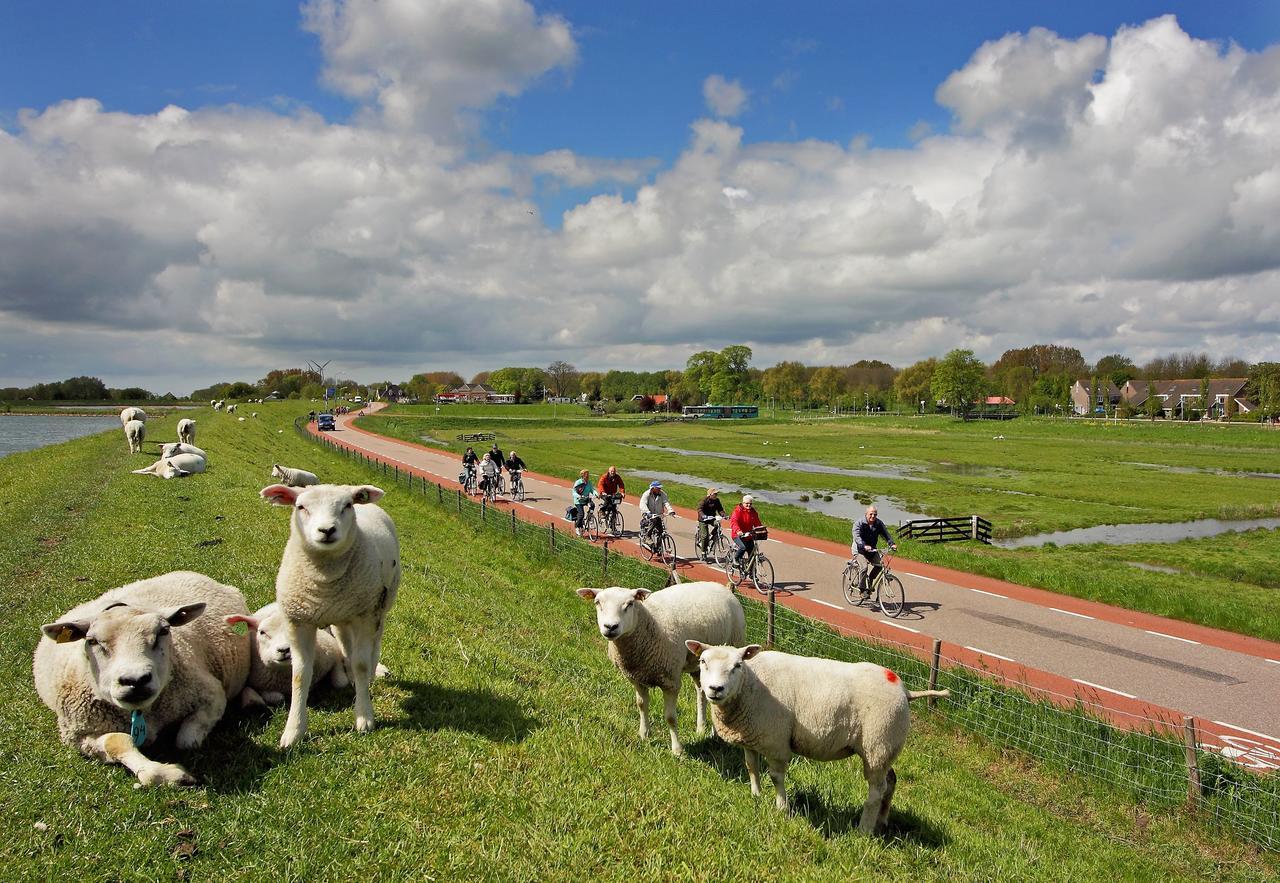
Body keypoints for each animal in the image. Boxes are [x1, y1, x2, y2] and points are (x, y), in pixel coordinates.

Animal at [33, 570, 250, 783]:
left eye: (164, 630)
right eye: (92, 641)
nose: (135, 680)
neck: (143, 713)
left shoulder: (212, 695)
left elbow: (186, 741)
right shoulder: (77, 735)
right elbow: (116, 741)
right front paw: (167, 773)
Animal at [259, 481, 399, 742]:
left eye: (347, 506)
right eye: (300, 506)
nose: (326, 530)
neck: (325, 580)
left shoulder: (366, 615)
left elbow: (362, 664)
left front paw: (364, 716)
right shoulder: (298, 621)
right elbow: (300, 674)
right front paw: (293, 731)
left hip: (380, 605)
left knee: (374, 645)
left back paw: (369, 674)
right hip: (342, 616)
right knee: (345, 645)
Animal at [576, 580, 747, 752]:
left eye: (630, 604)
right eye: (597, 602)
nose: (610, 627)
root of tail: (722, 587)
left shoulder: (670, 682)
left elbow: (670, 718)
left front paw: (677, 749)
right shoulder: (636, 677)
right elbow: (641, 705)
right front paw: (644, 735)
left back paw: (715, 734)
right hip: (698, 665)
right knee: (701, 692)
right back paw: (700, 728)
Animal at [686, 639, 947, 834]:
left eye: (738, 665)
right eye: (702, 661)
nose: (715, 689)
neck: (750, 685)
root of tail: (905, 691)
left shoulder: (776, 740)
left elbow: (776, 777)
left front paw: (782, 808)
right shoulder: (752, 735)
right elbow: (751, 767)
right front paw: (756, 795)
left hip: (877, 744)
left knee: (876, 790)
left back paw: (864, 829)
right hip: (885, 748)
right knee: (890, 781)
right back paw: (882, 821)